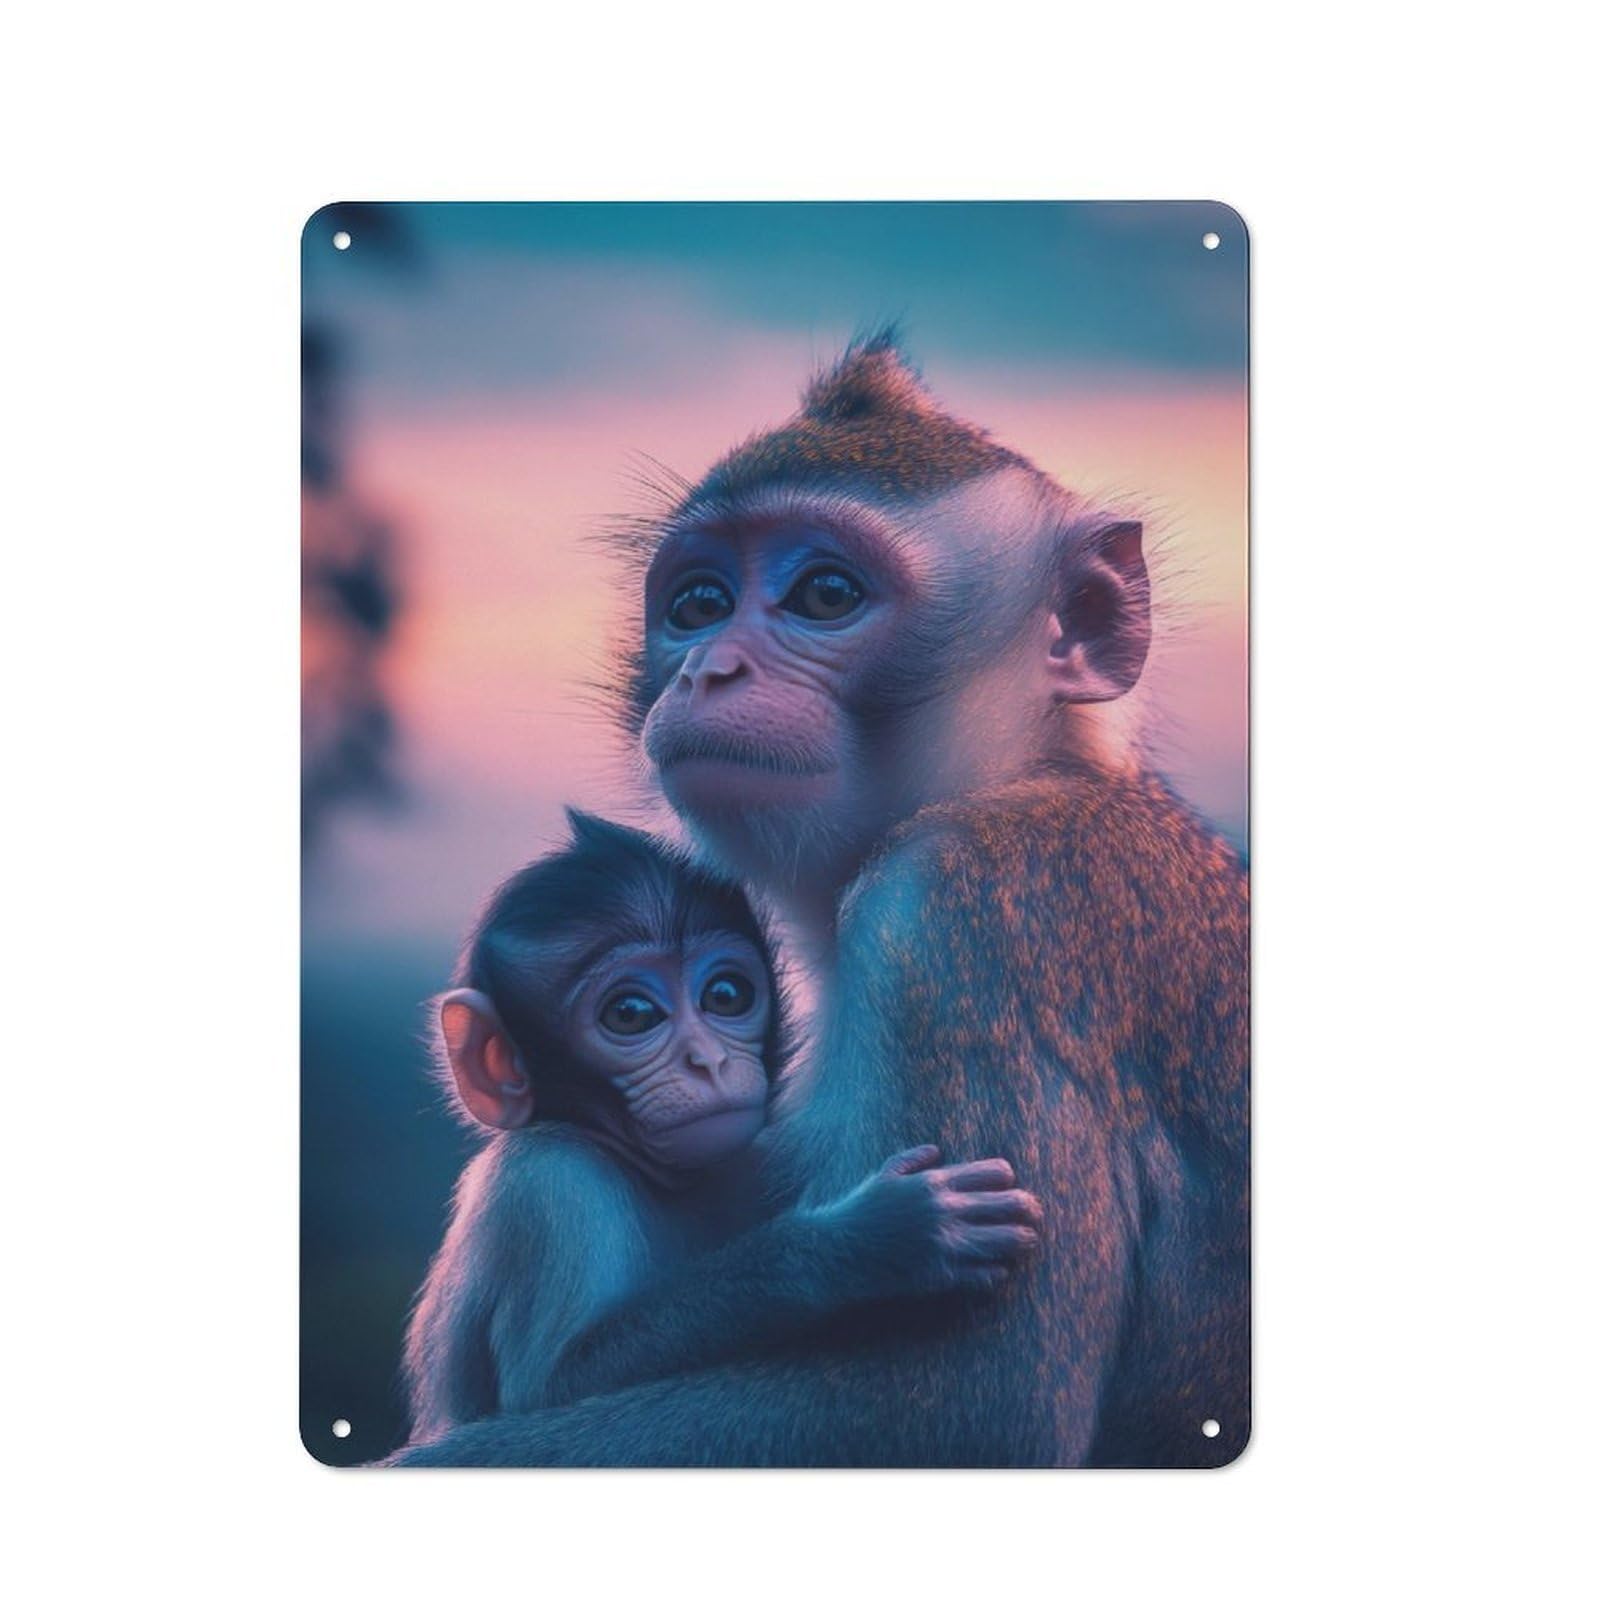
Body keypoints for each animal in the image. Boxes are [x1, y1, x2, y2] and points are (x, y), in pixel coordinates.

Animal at [399, 808, 1044, 1445]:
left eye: (726, 995)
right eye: (630, 1014)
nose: (707, 1061)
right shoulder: (548, 1186)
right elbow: (556, 1379)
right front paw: (869, 1242)